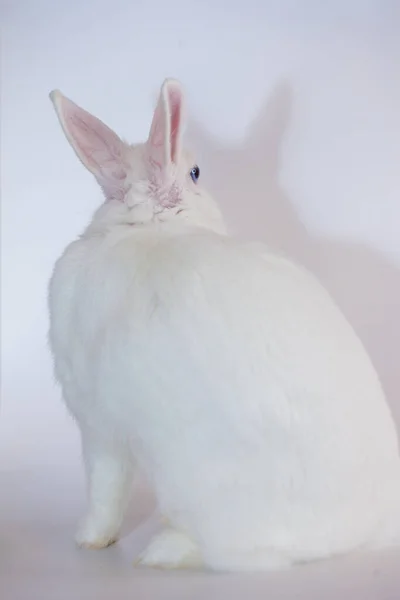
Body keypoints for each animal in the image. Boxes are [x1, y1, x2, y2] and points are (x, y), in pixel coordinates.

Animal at [48, 79, 400, 572]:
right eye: (196, 173)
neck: (148, 228)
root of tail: (370, 531)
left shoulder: (99, 426)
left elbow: (105, 492)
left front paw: (88, 540)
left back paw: (163, 552)